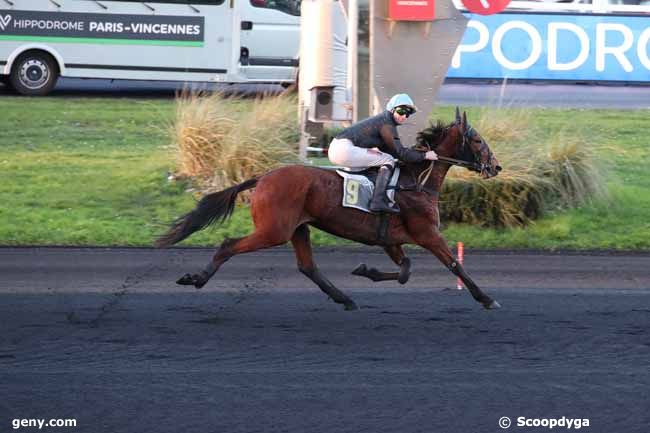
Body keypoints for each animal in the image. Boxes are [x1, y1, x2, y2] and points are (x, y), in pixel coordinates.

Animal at [156, 108, 502, 310]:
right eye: (478, 141)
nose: (496, 166)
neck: (415, 181)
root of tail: (263, 177)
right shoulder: (428, 234)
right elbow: (454, 265)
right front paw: (487, 299)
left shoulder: (391, 239)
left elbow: (405, 271)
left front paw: (365, 271)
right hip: (274, 230)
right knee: (229, 245)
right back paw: (196, 279)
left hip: (298, 228)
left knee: (308, 267)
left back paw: (345, 299)